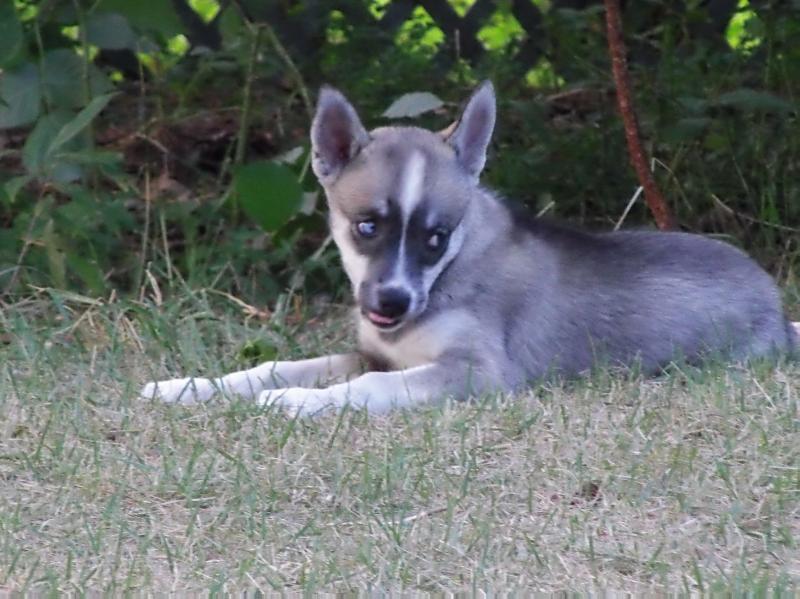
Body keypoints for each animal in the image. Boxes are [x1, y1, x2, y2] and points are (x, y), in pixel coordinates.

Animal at [141, 82, 796, 414]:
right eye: (367, 227)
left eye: (436, 238)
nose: (393, 303)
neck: (447, 278)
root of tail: (775, 308)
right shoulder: (372, 352)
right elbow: (271, 365)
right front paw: (189, 387)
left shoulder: (478, 372)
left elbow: (366, 390)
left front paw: (296, 400)